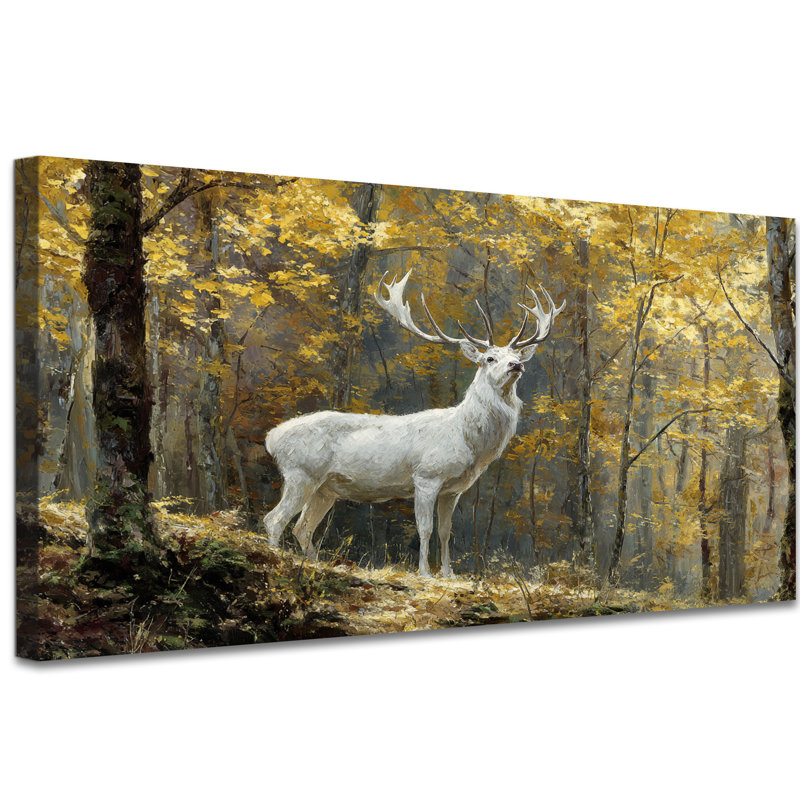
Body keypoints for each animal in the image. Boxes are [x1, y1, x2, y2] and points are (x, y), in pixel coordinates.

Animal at [263, 270, 564, 577]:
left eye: (515, 356)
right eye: (490, 358)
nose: (516, 365)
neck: (467, 440)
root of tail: (272, 437)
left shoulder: (453, 489)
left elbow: (445, 531)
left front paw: (448, 573)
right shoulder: (427, 476)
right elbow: (425, 528)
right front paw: (425, 572)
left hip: (326, 488)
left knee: (302, 527)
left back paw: (314, 563)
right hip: (301, 473)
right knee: (274, 519)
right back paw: (278, 559)